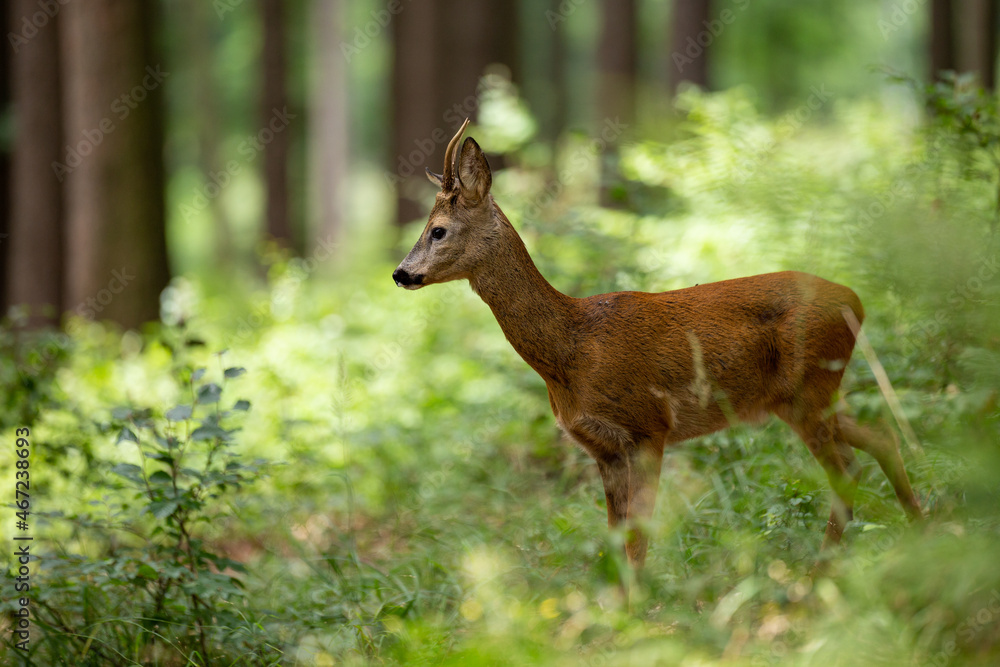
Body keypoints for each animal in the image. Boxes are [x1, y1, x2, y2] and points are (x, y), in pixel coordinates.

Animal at [390, 118, 920, 568]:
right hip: (800, 396)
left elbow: (638, 537)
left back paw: (818, 575)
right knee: (881, 437)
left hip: (809, 387)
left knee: (847, 469)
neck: (571, 351)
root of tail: (856, 301)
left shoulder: (649, 426)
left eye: (438, 230)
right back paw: (921, 525)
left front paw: (638, 612)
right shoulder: (602, 449)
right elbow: (615, 537)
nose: (400, 273)